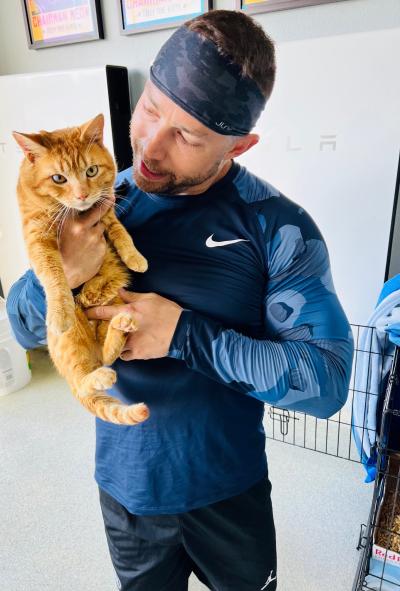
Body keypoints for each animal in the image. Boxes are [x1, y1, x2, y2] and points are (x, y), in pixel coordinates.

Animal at [12, 113, 150, 426]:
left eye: (91, 171)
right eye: (58, 178)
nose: (83, 195)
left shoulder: (106, 209)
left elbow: (121, 232)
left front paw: (135, 258)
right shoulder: (38, 237)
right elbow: (53, 273)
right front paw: (59, 309)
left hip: (109, 314)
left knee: (107, 356)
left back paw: (120, 326)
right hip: (71, 341)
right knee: (82, 380)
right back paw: (98, 373)